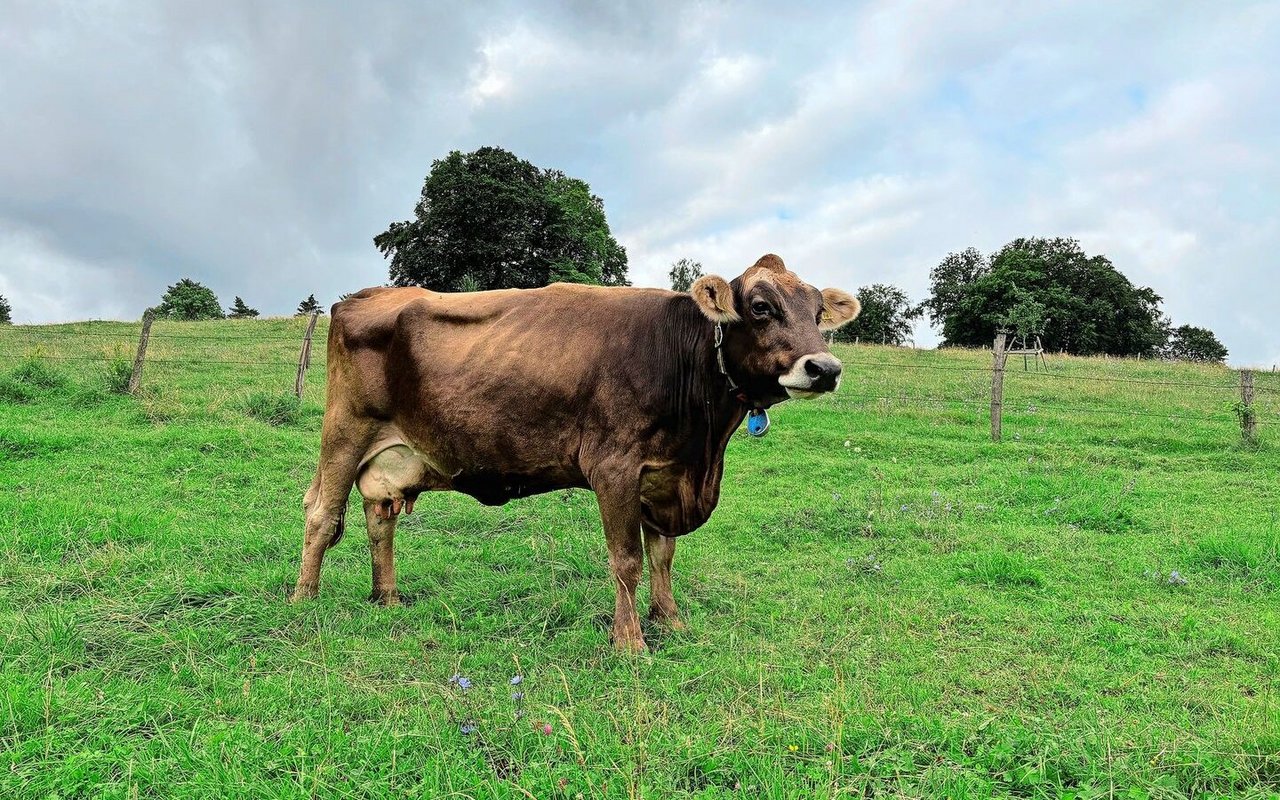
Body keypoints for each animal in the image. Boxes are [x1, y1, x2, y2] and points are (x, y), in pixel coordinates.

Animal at [290, 252, 860, 652]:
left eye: (817, 313)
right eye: (761, 308)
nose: (825, 368)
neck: (702, 450)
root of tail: (359, 297)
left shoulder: (662, 473)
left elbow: (663, 555)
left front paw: (670, 620)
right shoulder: (614, 466)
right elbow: (627, 560)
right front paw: (630, 642)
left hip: (395, 456)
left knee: (379, 517)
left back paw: (386, 597)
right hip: (345, 429)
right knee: (321, 513)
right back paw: (304, 600)